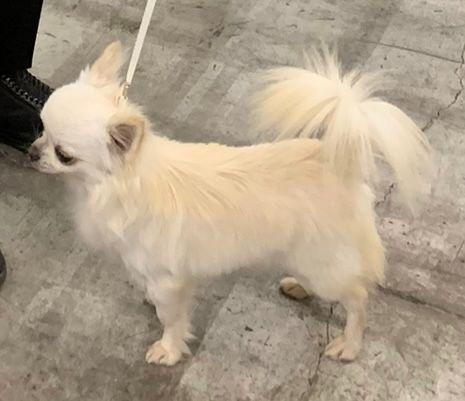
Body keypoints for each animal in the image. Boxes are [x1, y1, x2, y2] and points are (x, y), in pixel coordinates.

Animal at [29, 42, 432, 365]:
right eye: (41, 129)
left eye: (64, 155)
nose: (33, 152)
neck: (119, 186)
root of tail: (338, 160)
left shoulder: (169, 280)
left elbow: (172, 319)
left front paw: (168, 350)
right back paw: (299, 287)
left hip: (324, 262)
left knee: (358, 297)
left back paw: (349, 345)